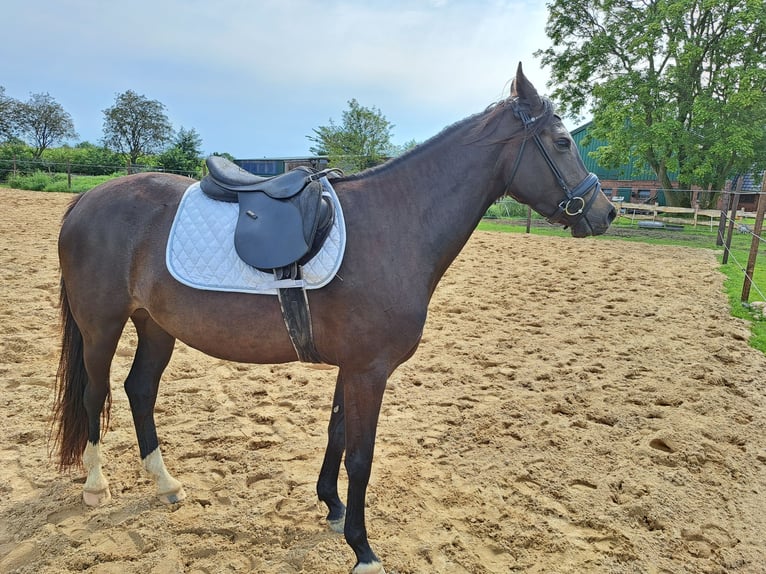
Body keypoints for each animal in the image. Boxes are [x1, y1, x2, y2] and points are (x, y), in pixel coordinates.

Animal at [52, 64, 616, 574]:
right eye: (562, 142)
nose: (605, 212)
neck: (395, 225)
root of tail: (87, 199)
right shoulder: (370, 371)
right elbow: (361, 457)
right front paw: (363, 550)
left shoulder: (354, 367)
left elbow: (337, 434)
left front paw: (332, 507)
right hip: (102, 326)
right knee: (95, 393)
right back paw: (96, 486)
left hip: (155, 325)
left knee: (139, 390)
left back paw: (166, 483)